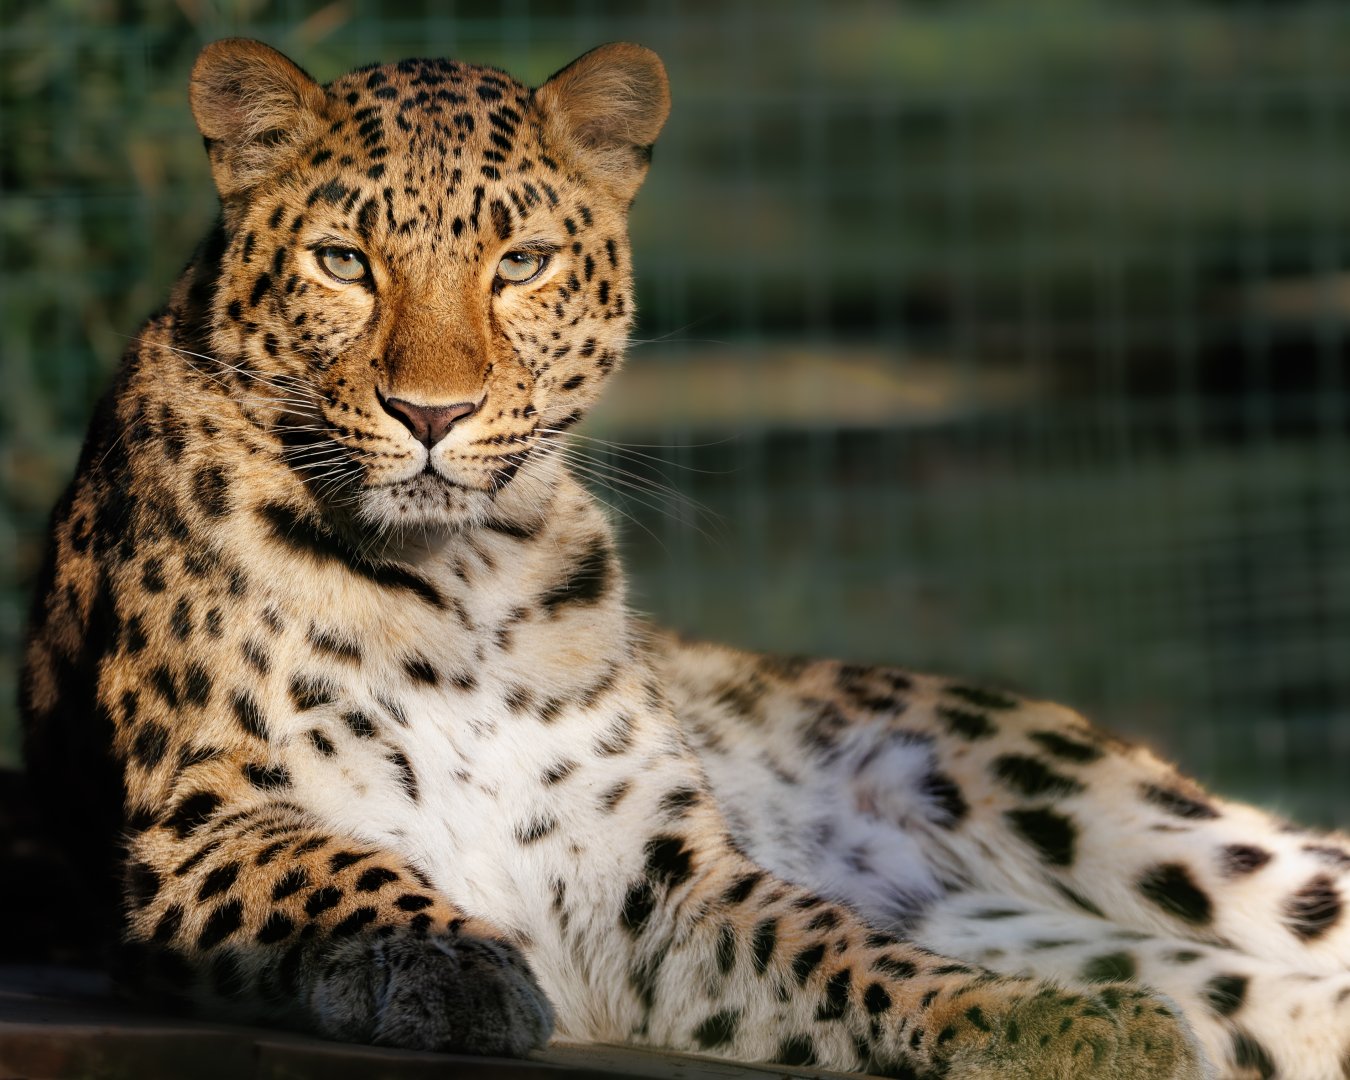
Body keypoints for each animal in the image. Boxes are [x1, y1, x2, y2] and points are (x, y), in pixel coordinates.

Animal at [18, 36, 1350, 1079]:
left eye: (521, 263)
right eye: (344, 262)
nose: (432, 414)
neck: (460, 579)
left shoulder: (647, 879)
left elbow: (848, 948)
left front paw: (1049, 1024)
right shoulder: (202, 825)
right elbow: (345, 871)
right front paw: (451, 962)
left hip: (1117, 813)